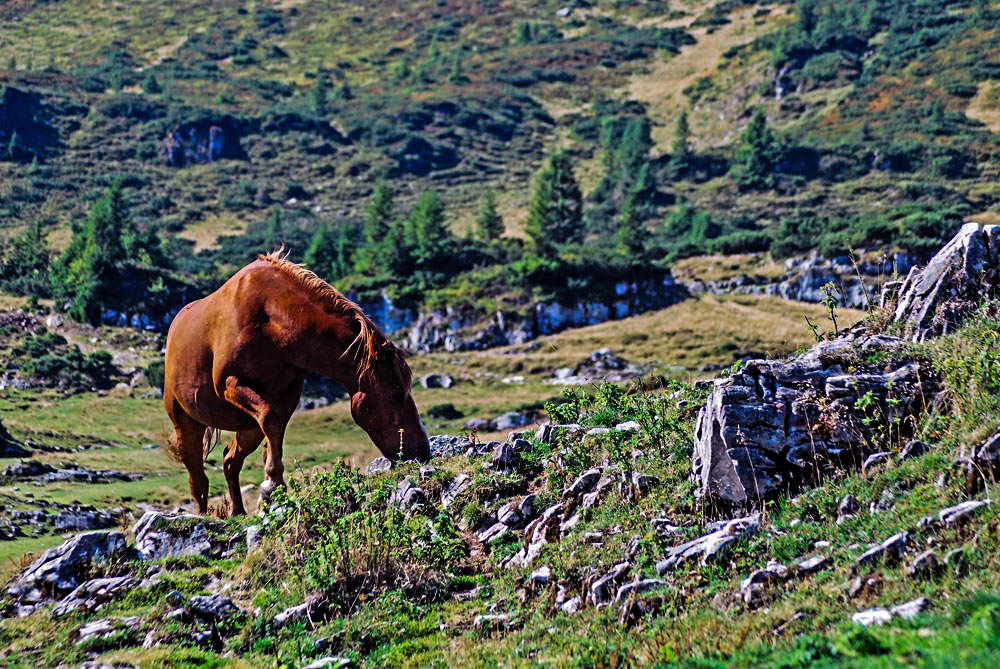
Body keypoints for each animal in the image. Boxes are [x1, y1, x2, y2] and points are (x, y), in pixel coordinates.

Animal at [163, 248, 430, 516]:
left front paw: (271, 488)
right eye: (395, 394)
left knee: (230, 461)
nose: (422, 451)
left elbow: (275, 429)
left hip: (248, 427)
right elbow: (271, 421)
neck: (269, 318)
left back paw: (238, 511)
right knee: (198, 479)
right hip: (187, 424)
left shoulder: (288, 394)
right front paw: (272, 485)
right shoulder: (229, 384)